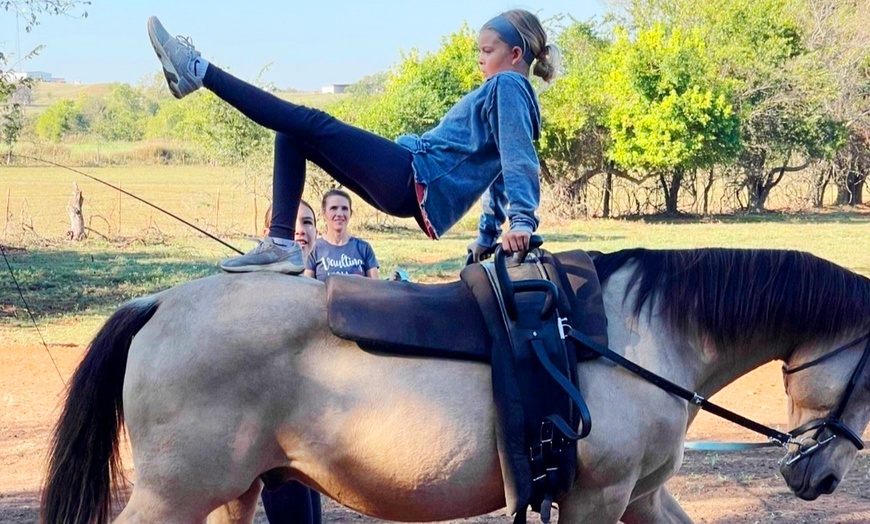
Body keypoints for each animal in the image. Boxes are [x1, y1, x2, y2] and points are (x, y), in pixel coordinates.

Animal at [41, 247, 870, 524]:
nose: (822, 477)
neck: (635, 332)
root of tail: (161, 303)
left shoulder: (641, 496)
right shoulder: (596, 498)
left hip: (231, 494)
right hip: (176, 494)